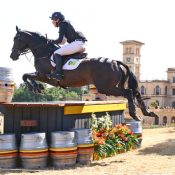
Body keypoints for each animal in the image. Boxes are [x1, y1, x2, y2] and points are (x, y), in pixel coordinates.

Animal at [9, 26, 157, 121]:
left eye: (16, 39)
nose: (12, 56)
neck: (44, 51)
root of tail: (116, 62)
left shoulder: (45, 76)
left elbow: (25, 75)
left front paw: (35, 88)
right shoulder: (41, 75)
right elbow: (26, 75)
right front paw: (37, 87)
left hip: (106, 88)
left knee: (129, 93)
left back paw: (134, 114)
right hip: (114, 86)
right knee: (135, 92)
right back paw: (147, 113)